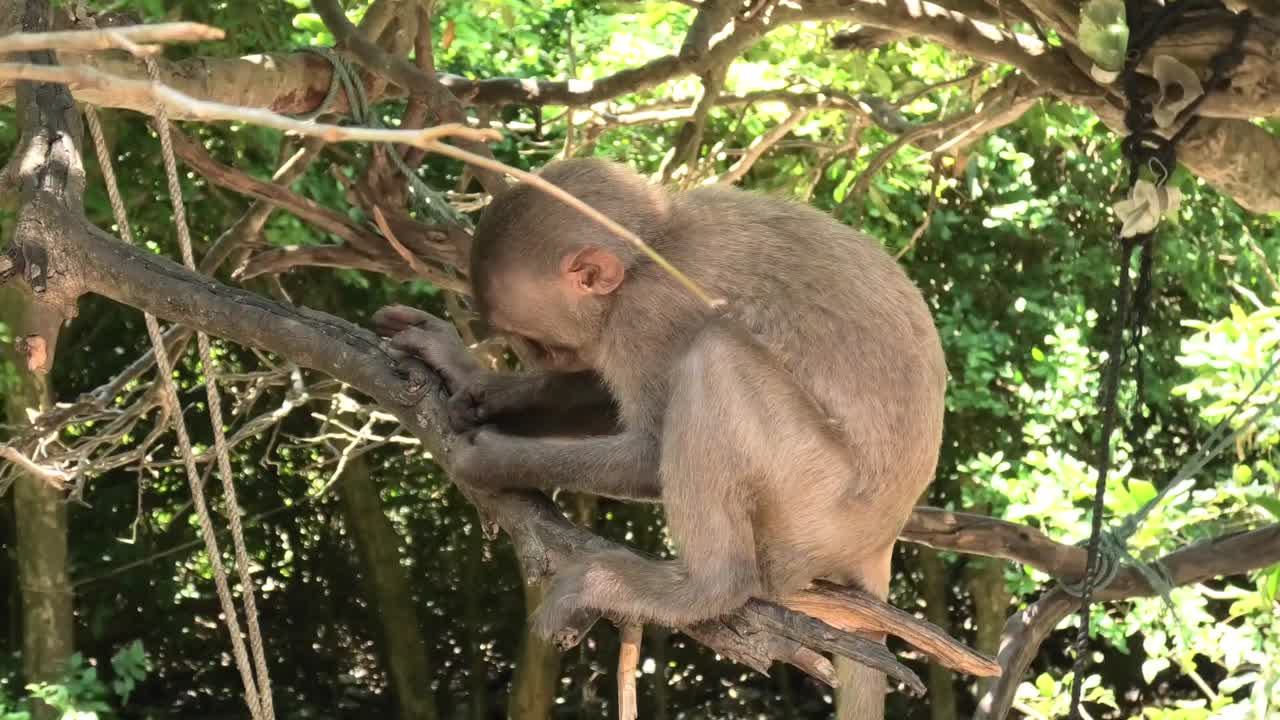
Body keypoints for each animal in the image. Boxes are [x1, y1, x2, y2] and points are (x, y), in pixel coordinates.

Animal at [373, 158, 946, 720]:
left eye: (540, 343)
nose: (536, 359)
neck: (655, 245)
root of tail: (880, 541)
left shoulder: (647, 312)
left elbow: (649, 453)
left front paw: (489, 460)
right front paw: (469, 377)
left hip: (818, 503)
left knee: (715, 354)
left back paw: (700, 589)